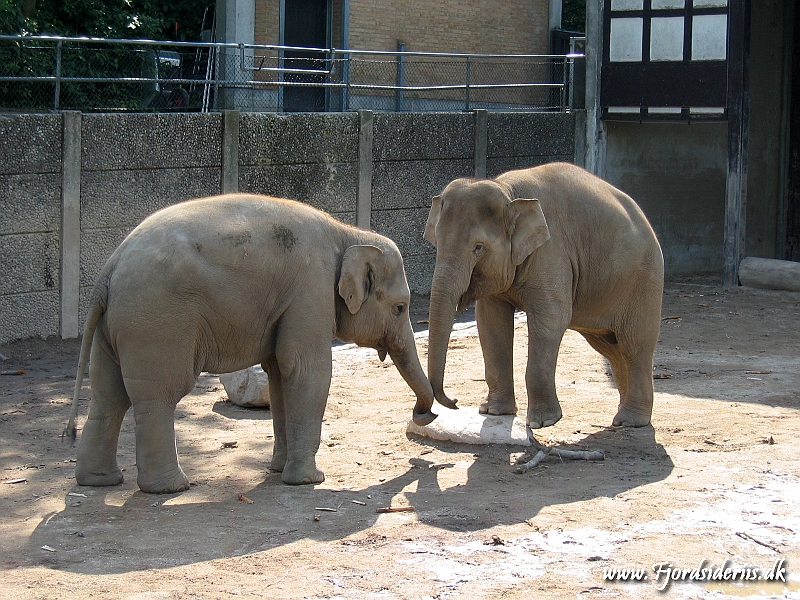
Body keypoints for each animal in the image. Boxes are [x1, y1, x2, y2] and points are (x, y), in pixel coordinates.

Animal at [65, 195, 434, 494]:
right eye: (400, 307)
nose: (423, 415)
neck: (349, 234)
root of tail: (109, 270)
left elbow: (279, 373)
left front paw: (278, 470)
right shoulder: (310, 288)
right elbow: (305, 369)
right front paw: (309, 481)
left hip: (115, 327)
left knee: (108, 396)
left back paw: (100, 481)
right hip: (156, 322)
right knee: (159, 395)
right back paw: (171, 488)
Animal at [424, 162, 664, 428]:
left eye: (478, 247)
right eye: (437, 242)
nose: (455, 401)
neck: (508, 191)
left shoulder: (552, 251)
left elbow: (552, 317)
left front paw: (543, 422)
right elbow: (490, 322)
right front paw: (494, 412)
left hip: (644, 281)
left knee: (635, 346)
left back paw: (630, 421)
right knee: (611, 349)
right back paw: (623, 415)